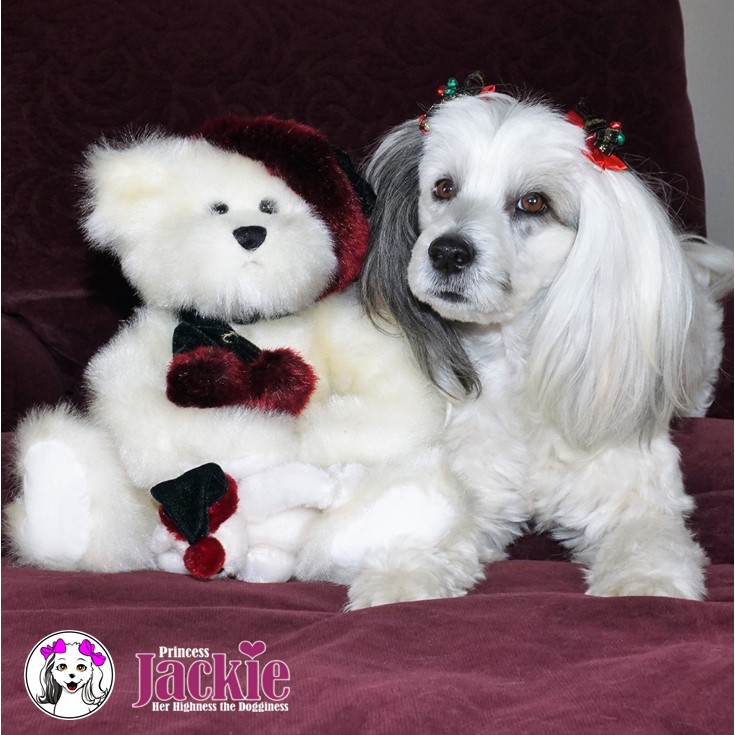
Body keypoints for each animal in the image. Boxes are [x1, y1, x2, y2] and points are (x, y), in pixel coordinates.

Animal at [366, 89, 732, 600]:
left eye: (533, 202)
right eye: (444, 188)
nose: (448, 251)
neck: (518, 366)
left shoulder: (634, 497)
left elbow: (646, 544)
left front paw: (644, 588)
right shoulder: (473, 479)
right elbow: (438, 521)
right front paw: (403, 579)